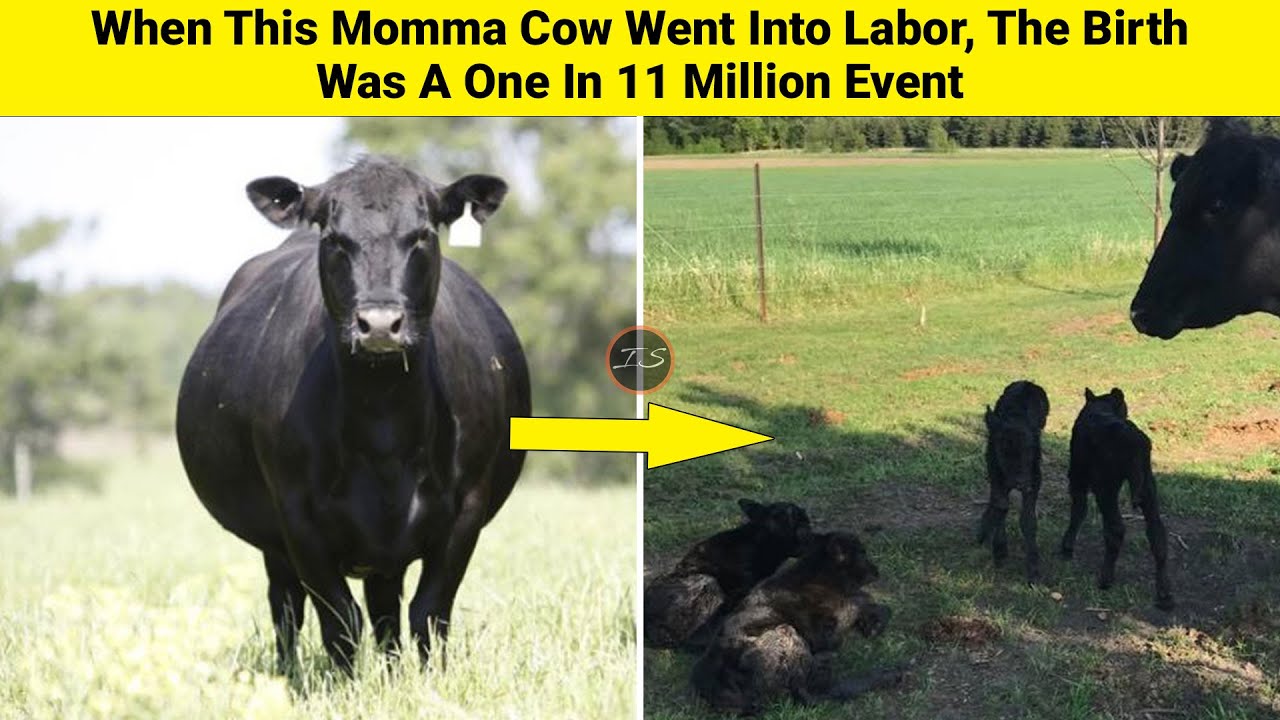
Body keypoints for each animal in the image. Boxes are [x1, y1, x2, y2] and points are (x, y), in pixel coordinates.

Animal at [175, 157, 529, 674]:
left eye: (422, 234)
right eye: (335, 238)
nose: (379, 323)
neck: (383, 423)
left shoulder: (466, 506)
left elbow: (429, 612)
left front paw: (429, 680)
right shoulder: (297, 515)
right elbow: (339, 619)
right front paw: (346, 683)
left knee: (385, 610)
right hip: (276, 543)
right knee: (287, 606)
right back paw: (290, 673)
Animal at [644, 499, 812, 649]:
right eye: (796, 521)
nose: (807, 522)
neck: (760, 542)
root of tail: (650, 626)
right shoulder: (739, 591)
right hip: (709, 581)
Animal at [690, 532, 902, 715]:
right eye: (862, 554)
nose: (877, 571)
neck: (820, 574)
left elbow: (875, 604)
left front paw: (873, 621)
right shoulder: (824, 630)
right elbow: (859, 601)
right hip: (787, 631)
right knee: (814, 692)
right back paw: (886, 674)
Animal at [977, 380, 1050, 582]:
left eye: (1030, 449)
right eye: (1002, 451)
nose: (1019, 482)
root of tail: (1025, 382)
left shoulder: (1035, 478)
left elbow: (1028, 518)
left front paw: (1033, 568)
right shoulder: (995, 470)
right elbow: (1001, 505)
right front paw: (999, 550)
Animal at [1059, 388, 1173, 611]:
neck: (1100, 407)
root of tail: (1136, 441)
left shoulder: (1077, 476)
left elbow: (1079, 510)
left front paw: (1067, 547)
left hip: (1106, 487)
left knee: (1116, 528)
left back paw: (1105, 579)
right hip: (1148, 488)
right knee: (1156, 533)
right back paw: (1164, 595)